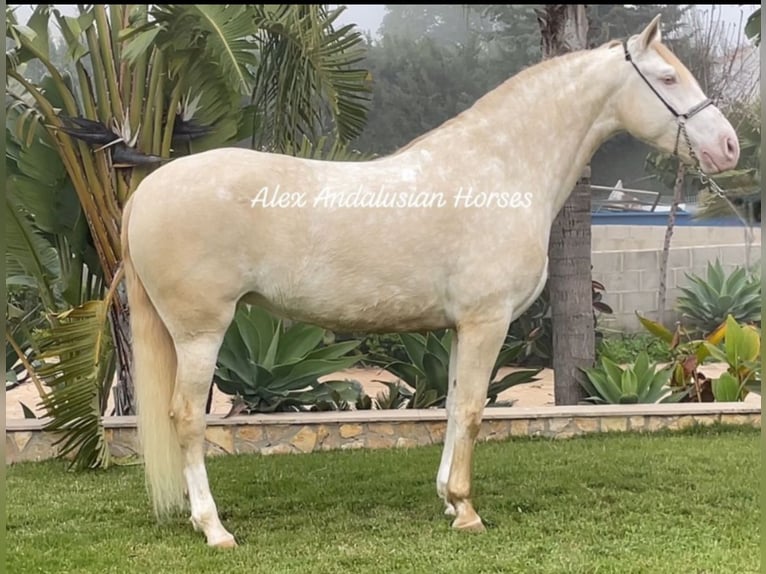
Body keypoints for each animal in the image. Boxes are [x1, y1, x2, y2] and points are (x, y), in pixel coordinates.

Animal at [123, 14, 740, 548]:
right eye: (667, 77)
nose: (729, 146)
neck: (501, 171)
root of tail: (149, 189)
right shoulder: (487, 322)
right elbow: (470, 411)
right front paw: (467, 511)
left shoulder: (461, 328)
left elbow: (450, 408)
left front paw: (447, 499)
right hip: (201, 332)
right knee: (187, 419)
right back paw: (214, 528)